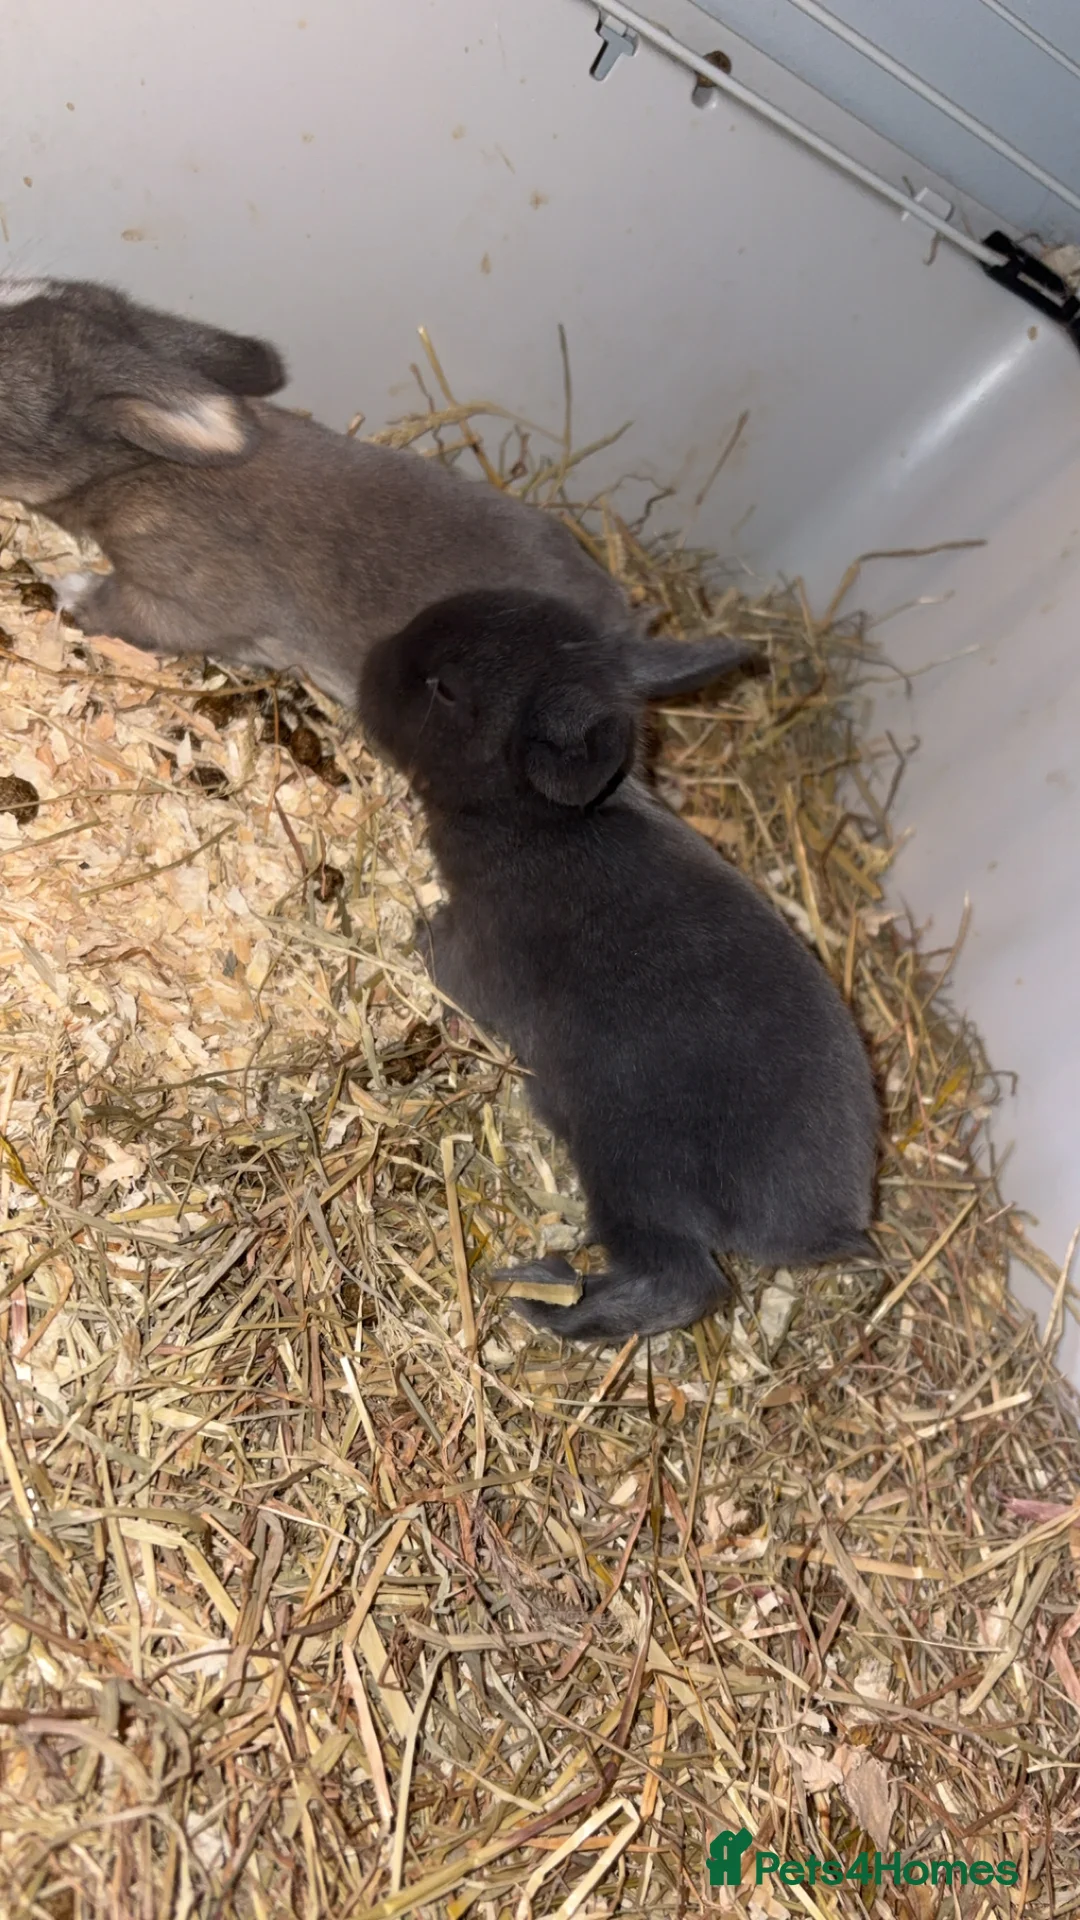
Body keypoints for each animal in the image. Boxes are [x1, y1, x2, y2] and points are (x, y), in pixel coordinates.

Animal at [358, 588, 880, 1345]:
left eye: (446, 689)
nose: (368, 662)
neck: (540, 822)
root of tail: (830, 1222)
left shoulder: (477, 957)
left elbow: (443, 958)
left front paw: (416, 931)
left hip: (629, 1176)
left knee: (683, 1284)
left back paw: (541, 1296)